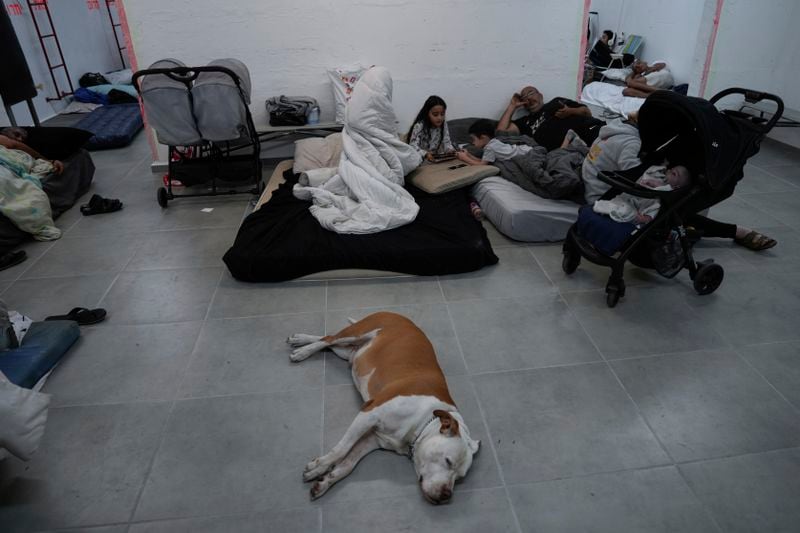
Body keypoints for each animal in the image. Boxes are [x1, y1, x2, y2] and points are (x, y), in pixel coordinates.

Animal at [288, 310, 478, 500]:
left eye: (459, 477)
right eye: (448, 461)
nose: (447, 495)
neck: (422, 421)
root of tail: (397, 314)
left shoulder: (371, 439)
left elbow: (347, 464)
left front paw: (324, 481)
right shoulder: (368, 415)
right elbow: (341, 449)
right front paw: (318, 466)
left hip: (345, 350)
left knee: (327, 341)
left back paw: (300, 340)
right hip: (357, 332)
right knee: (328, 339)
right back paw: (303, 351)